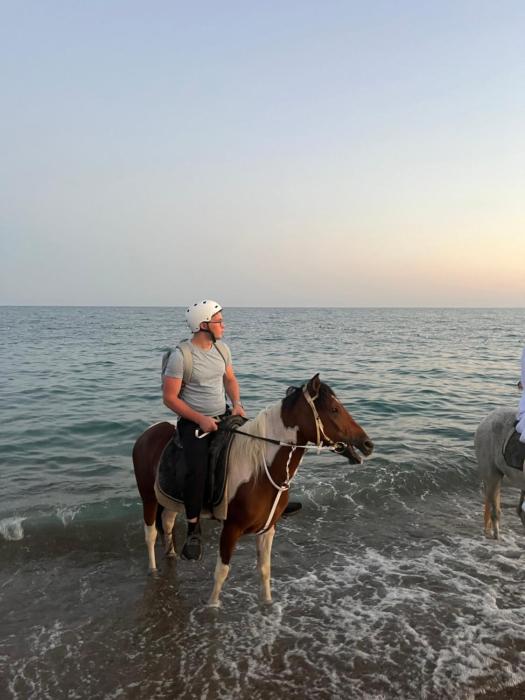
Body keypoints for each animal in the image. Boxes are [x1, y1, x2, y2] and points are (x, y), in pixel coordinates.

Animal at [133, 374, 374, 607]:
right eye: (334, 410)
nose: (367, 444)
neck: (260, 469)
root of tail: (148, 432)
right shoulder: (231, 529)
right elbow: (221, 573)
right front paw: (212, 607)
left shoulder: (268, 529)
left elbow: (265, 570)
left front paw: (267, 604)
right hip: (149, 498)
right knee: (151, 534)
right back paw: (153, 570)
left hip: (170, 500)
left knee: (168, 522)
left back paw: (171, 555)